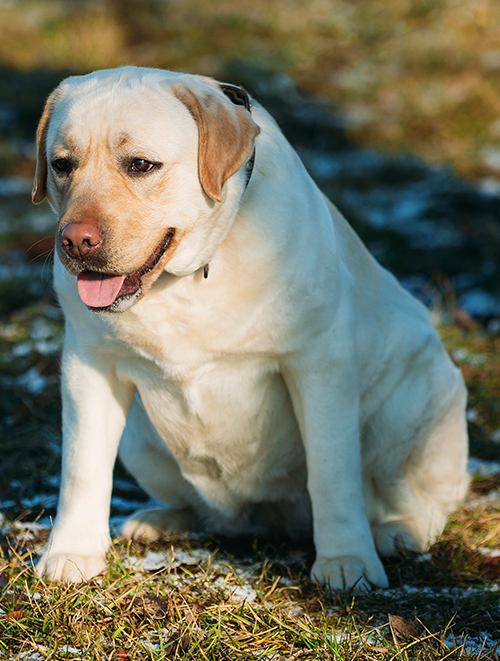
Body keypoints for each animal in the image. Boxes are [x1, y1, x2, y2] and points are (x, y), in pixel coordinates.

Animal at [33, 67, 470, 592]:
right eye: (62, 165)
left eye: (140, 165)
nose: (75, 241)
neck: (189, 277)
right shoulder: (89, 365)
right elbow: (82, 467)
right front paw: (73, 554)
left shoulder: (318, 363)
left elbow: (333, 471)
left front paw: (347, 560)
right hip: (141, 437)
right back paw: (161, 520)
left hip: (419, 401)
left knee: (423, 502)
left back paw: (397, 534)